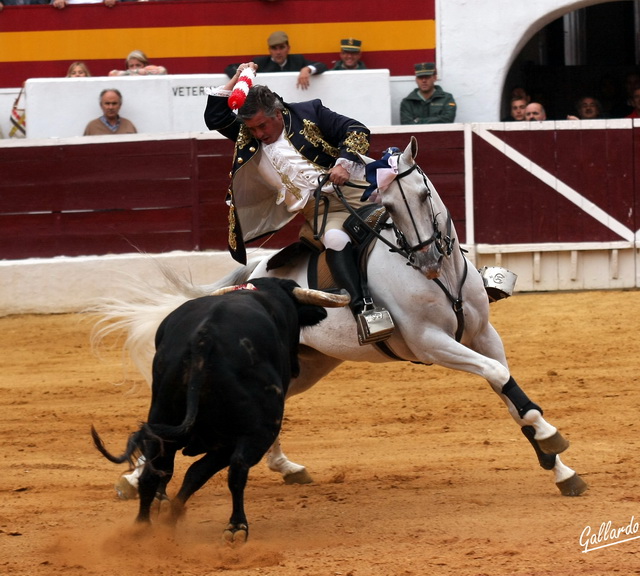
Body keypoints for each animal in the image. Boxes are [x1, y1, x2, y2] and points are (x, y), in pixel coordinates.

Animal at [90, 276, 350, 544]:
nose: (297, 366)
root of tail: (203, 340)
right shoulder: (233, 440)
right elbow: (204, 473)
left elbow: (189, 474)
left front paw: (171, 514)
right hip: (255, 431)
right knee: (236, 470)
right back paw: (236, 527)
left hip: (163, 418)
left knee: (155, 473)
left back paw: (142, 528)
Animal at [92, 137, 588, 498]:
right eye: (389, 208)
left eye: (424, 193)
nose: (427, 257)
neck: (439, 276)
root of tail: (251, 277)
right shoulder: (432, 343)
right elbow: (499, 377)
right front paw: (551, 438)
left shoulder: (484, 335)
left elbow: (508, 391)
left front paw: (559, 467)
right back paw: (135, 479)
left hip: (308, 364)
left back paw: (286, 467)